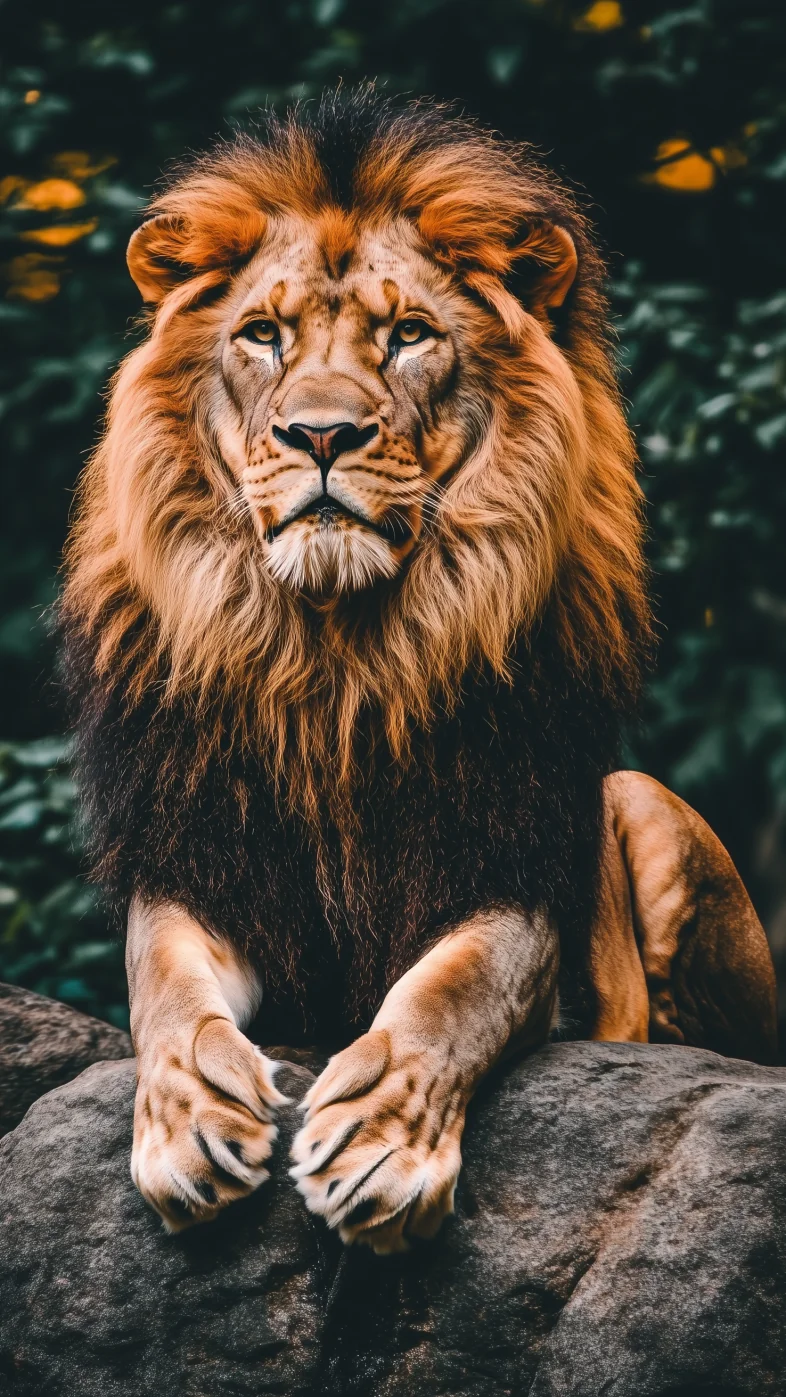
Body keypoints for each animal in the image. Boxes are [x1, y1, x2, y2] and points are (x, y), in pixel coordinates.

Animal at [62, 88, 776, 1253]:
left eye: (407, 336)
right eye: (262, 334)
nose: (322, 434)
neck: (334, 658)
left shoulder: (507, 865)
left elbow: (455, 988)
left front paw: (378, 1143)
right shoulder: (203, 856)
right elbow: (160, 982)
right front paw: (190, 1116)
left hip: (639, 801)